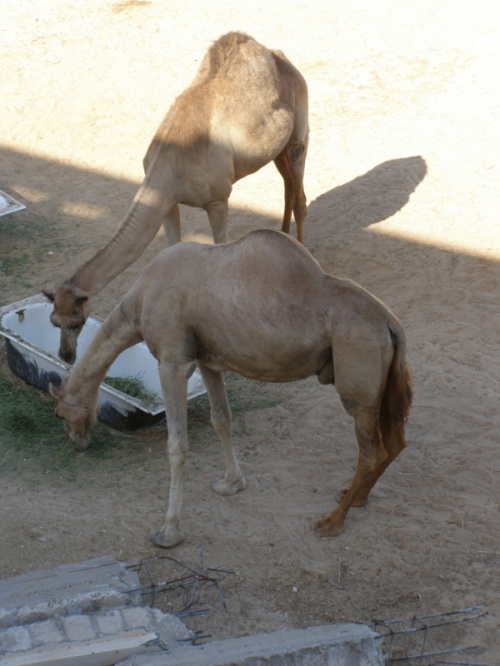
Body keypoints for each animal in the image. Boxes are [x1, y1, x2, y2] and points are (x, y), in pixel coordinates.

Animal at [43, 29, 308, 364]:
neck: (171, 161)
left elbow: (218, 247)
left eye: (77, 321)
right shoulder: (167, 203)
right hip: (277, 147)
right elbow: (172, 248)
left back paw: (301, 251)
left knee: (299, 189)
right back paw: (283, 237)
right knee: (288, 183)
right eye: (54, 321)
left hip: (300, 123)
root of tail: (279, 56)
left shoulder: (217, 200)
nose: (65, 355)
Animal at [49, 227, 414, 544]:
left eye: (59, 413)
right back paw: (357, 499)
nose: (77, 443)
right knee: (395, 441)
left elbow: (177, 445)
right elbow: (221, 418)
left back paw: (331, 521)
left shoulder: (172, 360)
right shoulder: (206, 359)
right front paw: (231, 483)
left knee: (371, 450)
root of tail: (391, 324)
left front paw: (169, 532)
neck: (139, 301)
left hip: (358, 381)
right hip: (384, 381)